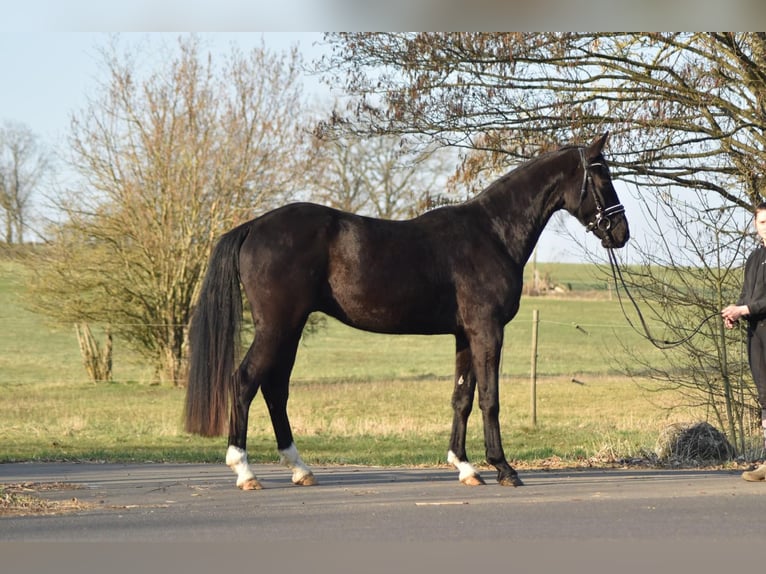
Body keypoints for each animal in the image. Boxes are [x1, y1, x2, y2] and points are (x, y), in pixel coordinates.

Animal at [184, 132, 629, 490]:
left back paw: (300, 469)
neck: (492, 233)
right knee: (244, 381)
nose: (621, 233)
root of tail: (254, 226)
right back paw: (245, 471)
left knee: (275, 389)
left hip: (288, 329)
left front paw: (465, 467)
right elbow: (489, 398)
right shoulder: (487, 330)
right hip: (276, 327)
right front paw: (504, 469)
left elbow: (461, 397)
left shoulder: (464, 334)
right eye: (602, 176)